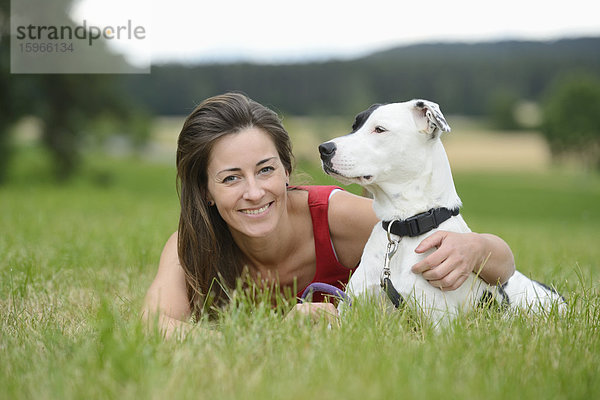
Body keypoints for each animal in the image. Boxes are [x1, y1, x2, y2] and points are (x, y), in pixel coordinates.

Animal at [318, 99, 568, 324]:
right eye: (354, 126)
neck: (404, 226)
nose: (324, 149)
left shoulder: (438, 323)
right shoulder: (348, 314)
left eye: (380, 129)